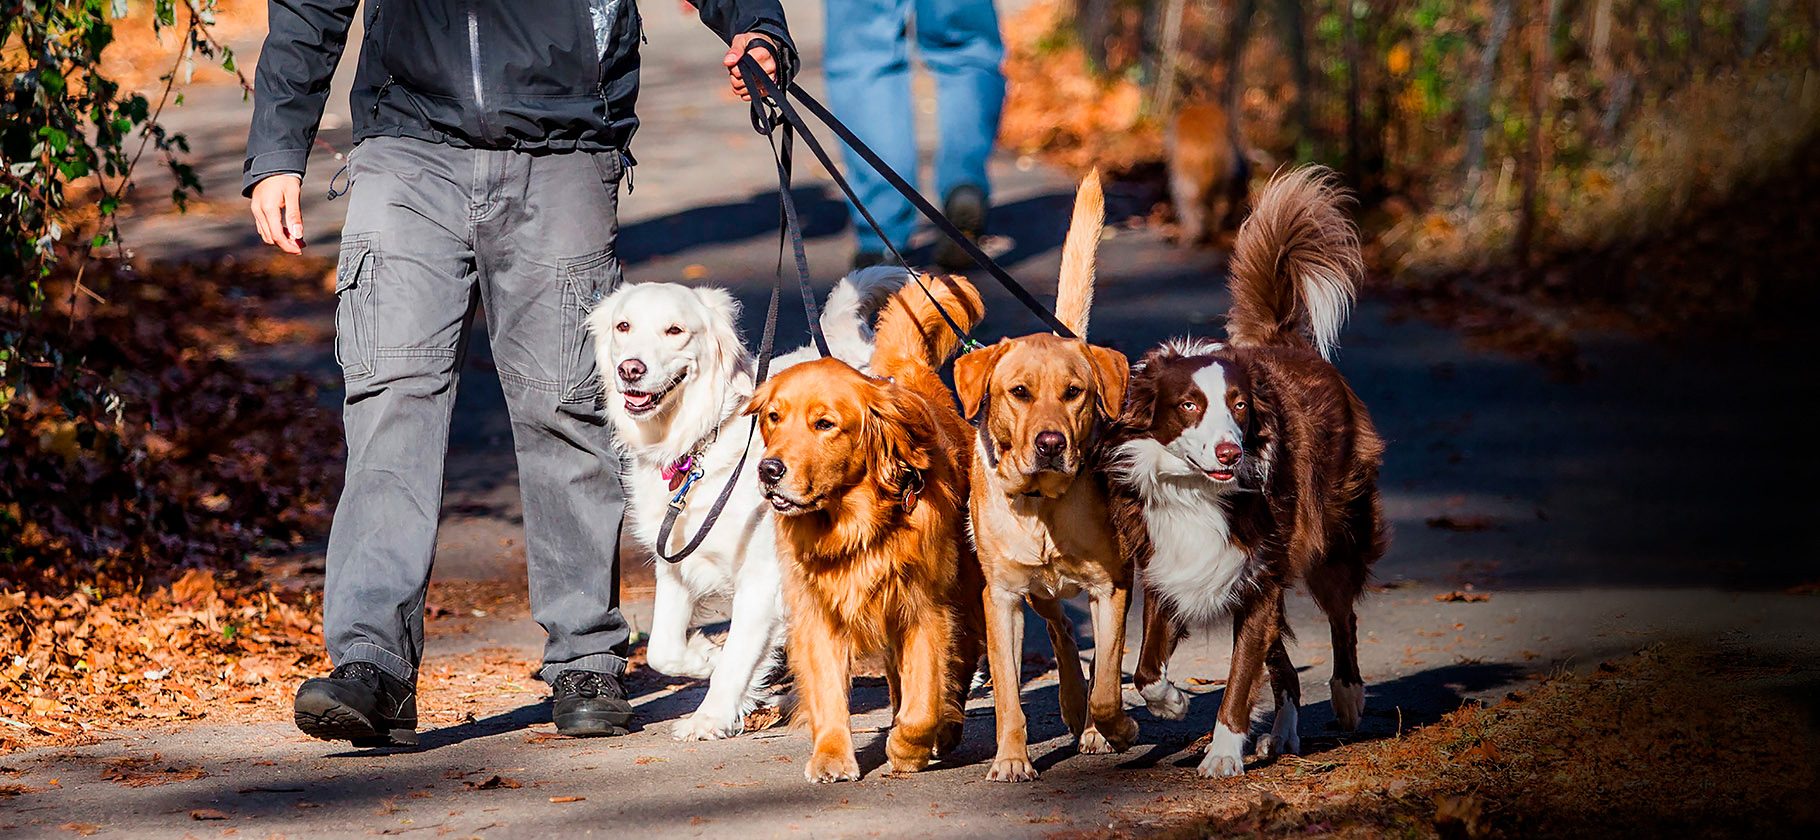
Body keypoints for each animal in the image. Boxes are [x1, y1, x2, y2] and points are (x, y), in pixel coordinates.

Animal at [586, 265, 906, 738]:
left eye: (675, 330)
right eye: (623, 327)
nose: (630, 370)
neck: (701, 442)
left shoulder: (762, 578)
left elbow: (737, 659)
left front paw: (709, 716)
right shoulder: (676, 563)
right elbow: (664, 649)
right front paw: (707, 655)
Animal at [746, 274, 990, 781]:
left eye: (824, 424)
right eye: (773, 416)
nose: (768, 470)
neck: (853, 526)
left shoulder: (925, 608)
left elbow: (924, 700)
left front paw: (908, 747)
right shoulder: (818, 613)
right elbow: (828, 691)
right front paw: (832, 755)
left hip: (964, 590)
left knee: (957, 664)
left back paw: (945, 729)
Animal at [953, 169, 1135, 781]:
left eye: (1074, 392)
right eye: (1019, 393)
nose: (1051, 443)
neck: (1042, 504)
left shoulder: (1112, 587)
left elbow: (1110, 680)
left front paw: (1114, 728)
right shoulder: (1003, 599)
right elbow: (1009, 692)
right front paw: (1012, 757)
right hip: (1037, 594)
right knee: (1060, 630)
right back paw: (1071, 704)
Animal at [1106, 167, 1375, 778]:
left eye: (1241, 406)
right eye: (1189, 405)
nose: (1230, 453)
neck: (1196, 492)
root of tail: (1283, 340)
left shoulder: (1258, 579)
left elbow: (1238, 676)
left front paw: (1223, 754)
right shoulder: (1170, 566)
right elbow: (1147, 668)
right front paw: (1173, 703)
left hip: (1330, 534)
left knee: (1341, 616)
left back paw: (1347, 697)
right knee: (1284, 667)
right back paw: (1283, 734)